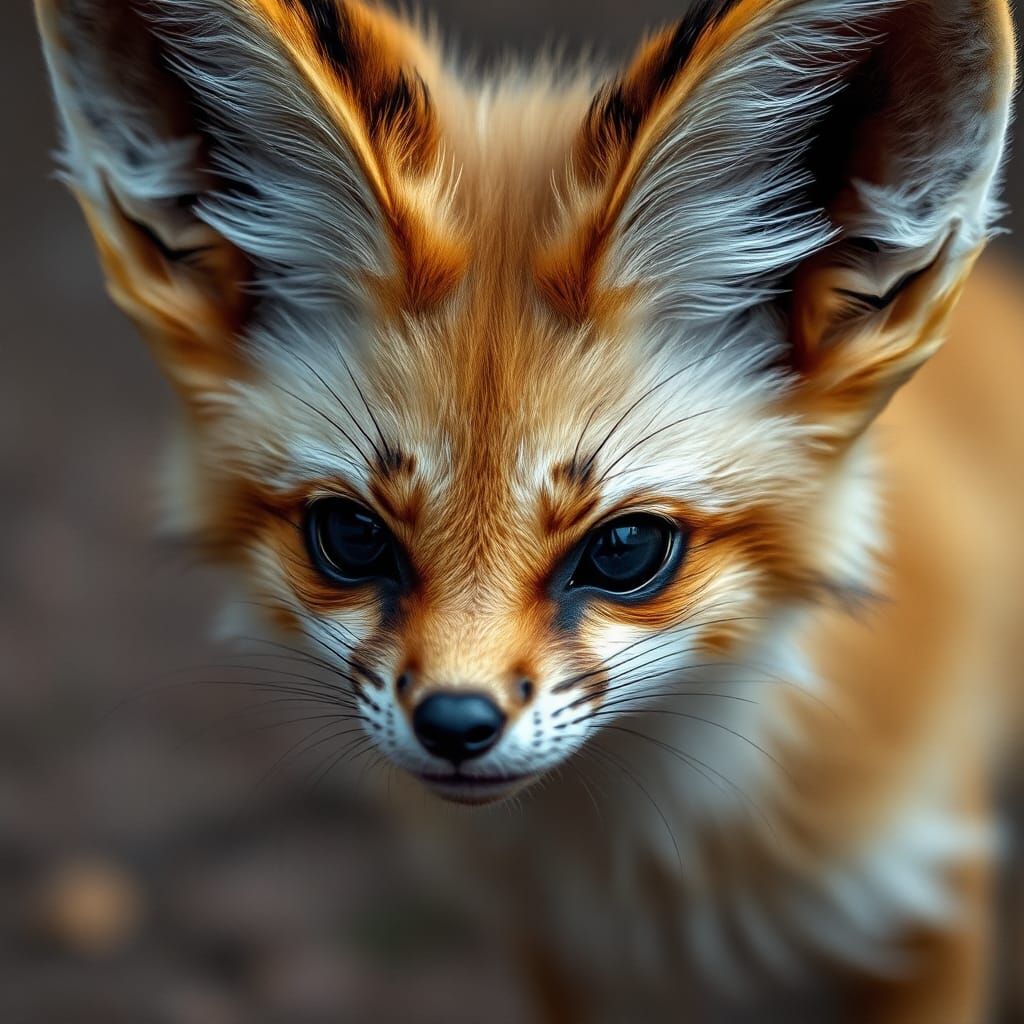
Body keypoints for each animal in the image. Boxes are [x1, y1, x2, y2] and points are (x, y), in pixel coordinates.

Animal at [34, 0, 1023, 1019]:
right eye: (350, 535)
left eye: (625, 549)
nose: (455, 725)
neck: (663, 879)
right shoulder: (563, 956)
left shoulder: (931, 908)